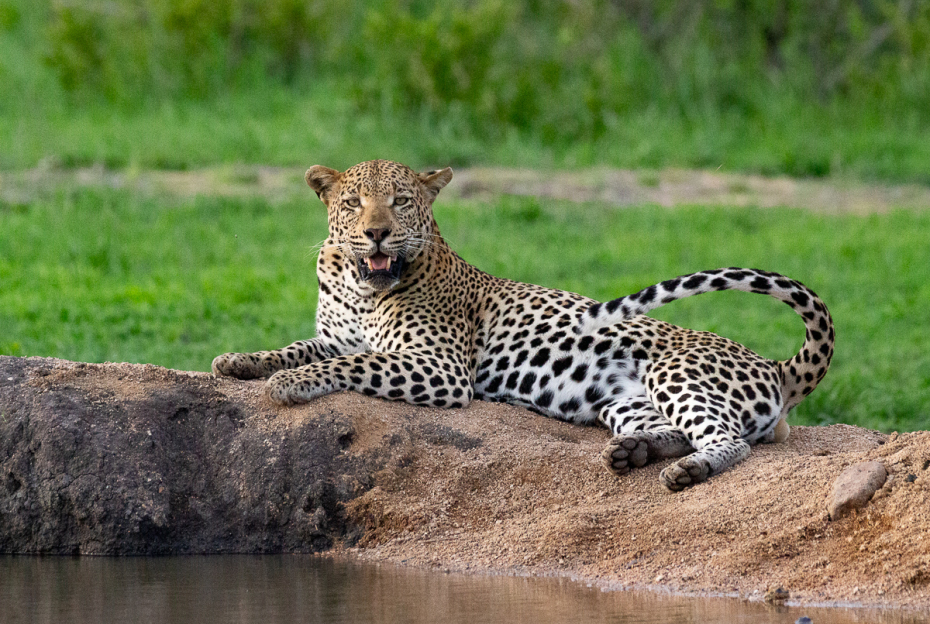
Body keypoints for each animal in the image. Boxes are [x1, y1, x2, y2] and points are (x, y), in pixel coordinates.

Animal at [212, 159, 834, 491]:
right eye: (352, 203)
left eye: (401, 201)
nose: (377, 233)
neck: (360, 285)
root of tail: (776, 366)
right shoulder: (330, 336)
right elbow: (299, 347)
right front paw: (238, 361)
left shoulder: (439, 369)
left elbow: (354, 362)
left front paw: (290, 385)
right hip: (622, 399)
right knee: (675, 429)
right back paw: (633, 453)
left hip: (679, 374)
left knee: (731, 441)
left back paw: (688, 470)